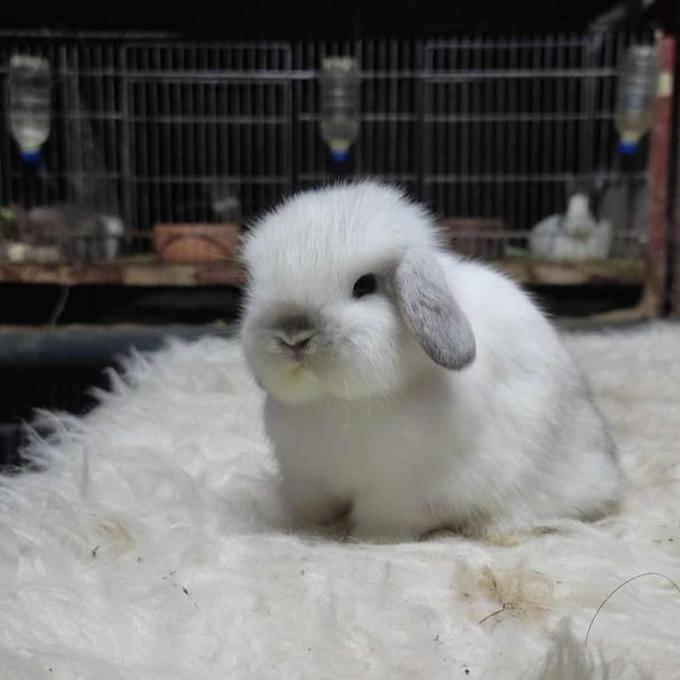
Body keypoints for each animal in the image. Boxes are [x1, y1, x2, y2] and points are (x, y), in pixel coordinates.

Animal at [240, 182, 623, 541]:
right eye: (256, 286)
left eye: (364, 285)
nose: (293, 336)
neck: (335, 403)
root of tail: (609, 471)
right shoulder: (307, 480)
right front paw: (306, 528)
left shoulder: (399, 493)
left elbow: (383, 522)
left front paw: (365, 538)